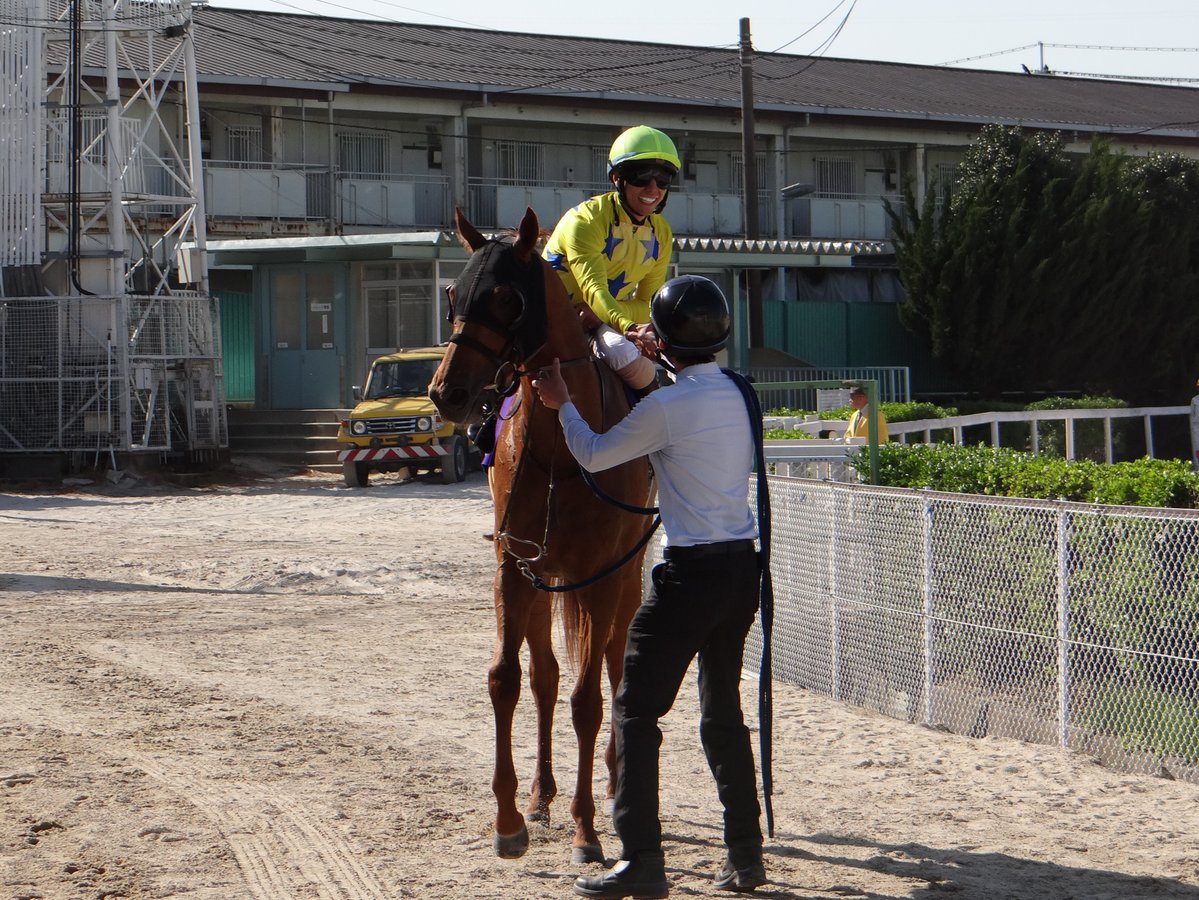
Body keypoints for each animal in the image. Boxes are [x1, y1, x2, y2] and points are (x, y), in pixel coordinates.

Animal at [428, 207, 654, 863]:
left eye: (506, 298)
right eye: (453, 293)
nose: (446, 392)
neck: (563, 450)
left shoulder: (600, 577)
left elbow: (589, 700)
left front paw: (586, 830)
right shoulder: (515, 567)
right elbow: (508, 679)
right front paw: (508, 818)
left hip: (623, 579)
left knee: (612, 667)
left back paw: (612, 782)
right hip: (543, 578)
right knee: (546, 677)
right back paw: (541, 793)